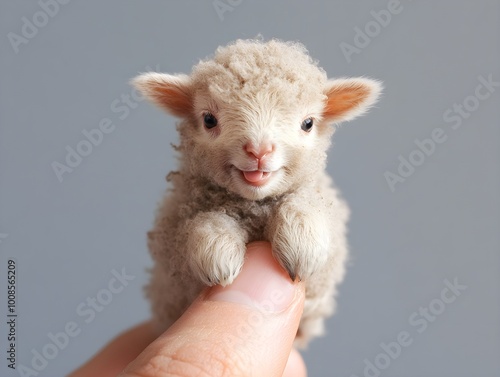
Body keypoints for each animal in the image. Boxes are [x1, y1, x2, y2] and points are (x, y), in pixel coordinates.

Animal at [131, 39, 380, 346]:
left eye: (308, 123)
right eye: (209, 119)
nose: (259, 151)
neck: (254, 206)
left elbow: (306, 206)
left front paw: (301, 243)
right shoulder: (172, 249)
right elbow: (202, 223)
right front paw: (218, 255)